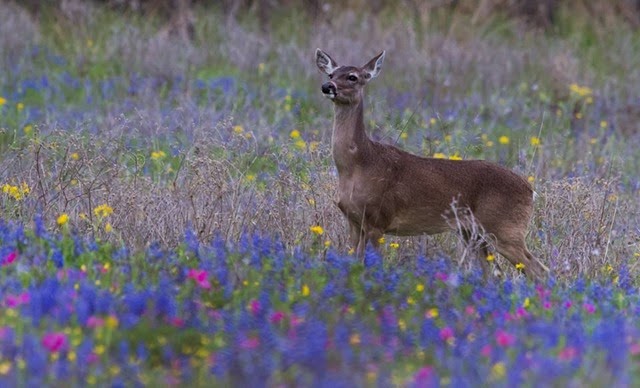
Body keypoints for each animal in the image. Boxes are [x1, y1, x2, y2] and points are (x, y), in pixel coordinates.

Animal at [316, 48, 552, 280]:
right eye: (331, 74)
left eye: (353, 77)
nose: (327, 87)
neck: (359, 165)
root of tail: (530, 190)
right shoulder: (354, 221)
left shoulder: (378, 218)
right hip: (473, 233)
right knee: (495, 274)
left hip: (505, 228)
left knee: (539, 270)